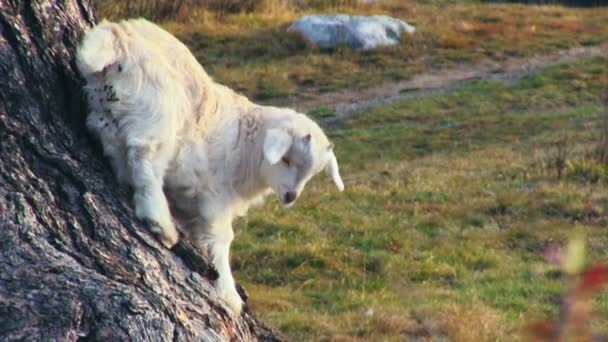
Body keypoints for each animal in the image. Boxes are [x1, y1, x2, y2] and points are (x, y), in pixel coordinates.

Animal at [76, 18, 344, 312]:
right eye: (286, 158)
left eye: (312, 174)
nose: (290, 197)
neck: (247, 141)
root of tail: (117, 35)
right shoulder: (216, 195)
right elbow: (221, 238)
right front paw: (229, 294)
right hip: (157, 107)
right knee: (146, 156)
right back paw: (159, 221)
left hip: (109, 108)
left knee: (110, 139)